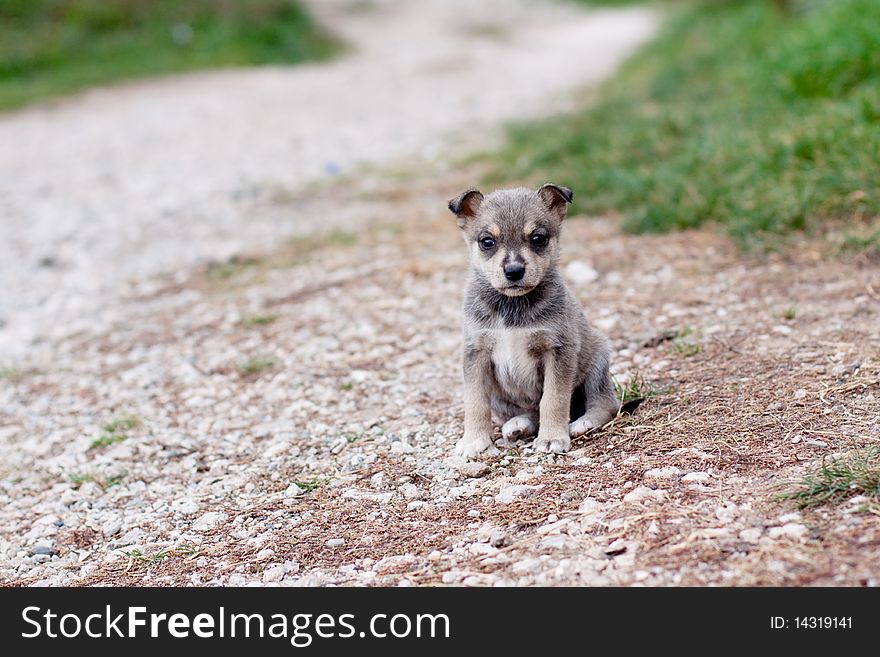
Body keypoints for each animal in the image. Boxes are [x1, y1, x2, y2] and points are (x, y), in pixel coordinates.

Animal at [446, 179, 620, 456]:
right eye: (487, 241)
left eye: (537, 238)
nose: (514, 271)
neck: (512, 305)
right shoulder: (476, 352)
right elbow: (475, 402)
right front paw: (474, 440)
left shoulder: (558, 350)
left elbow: (553, 399)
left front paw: (551, 438)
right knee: (530, 412)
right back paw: (518, 425)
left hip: (597, 364)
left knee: (604, 403)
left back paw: (582, 423)